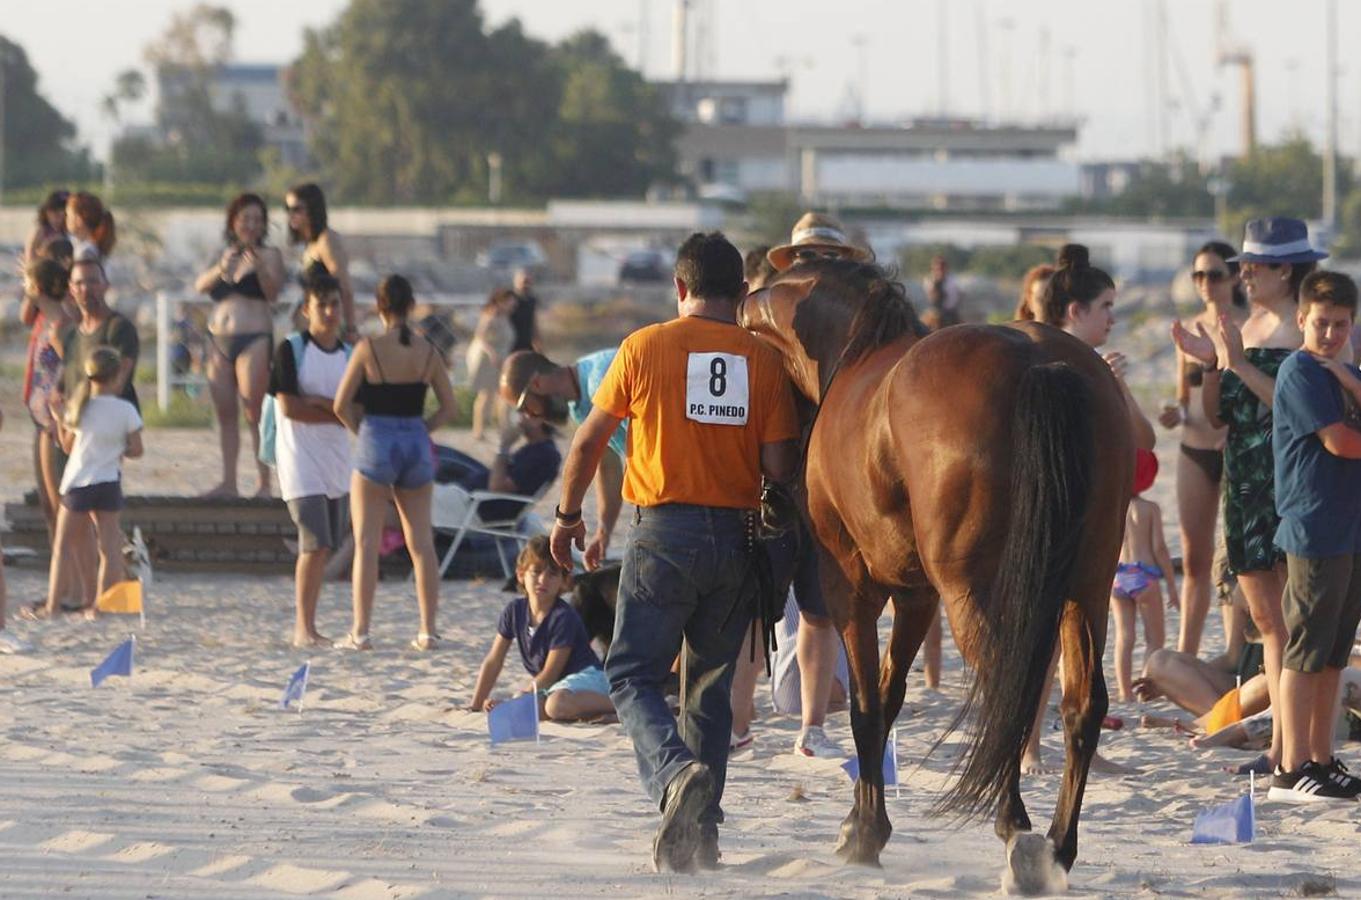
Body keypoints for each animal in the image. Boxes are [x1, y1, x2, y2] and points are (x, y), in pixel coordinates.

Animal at [740, 260, 1132, 893]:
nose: (771, 502)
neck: (854, 354)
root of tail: (1039, 361)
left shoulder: (853, 591)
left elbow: (866, 706)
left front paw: (864, 831)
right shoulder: (917, 596)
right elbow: (890, 696)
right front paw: (866, 820)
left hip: (973, 595)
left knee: (1006, 692)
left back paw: (1015, 830)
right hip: (1087, 591)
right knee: (1081, 704)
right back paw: (1058, 846)